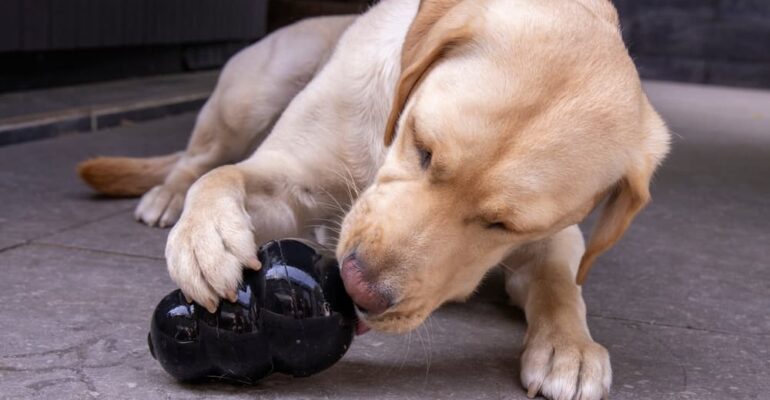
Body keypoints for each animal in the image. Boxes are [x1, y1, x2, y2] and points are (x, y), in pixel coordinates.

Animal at [78, 1, 664, 398]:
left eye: (506, 226)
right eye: (423, 148)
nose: (358, 289)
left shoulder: (555, 239)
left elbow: (562, 284)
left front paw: (570, 347)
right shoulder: (283, 178)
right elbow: (223, 178)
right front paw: (206, 238)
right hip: (251, 93)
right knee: (198, 158)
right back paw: (169, 195)